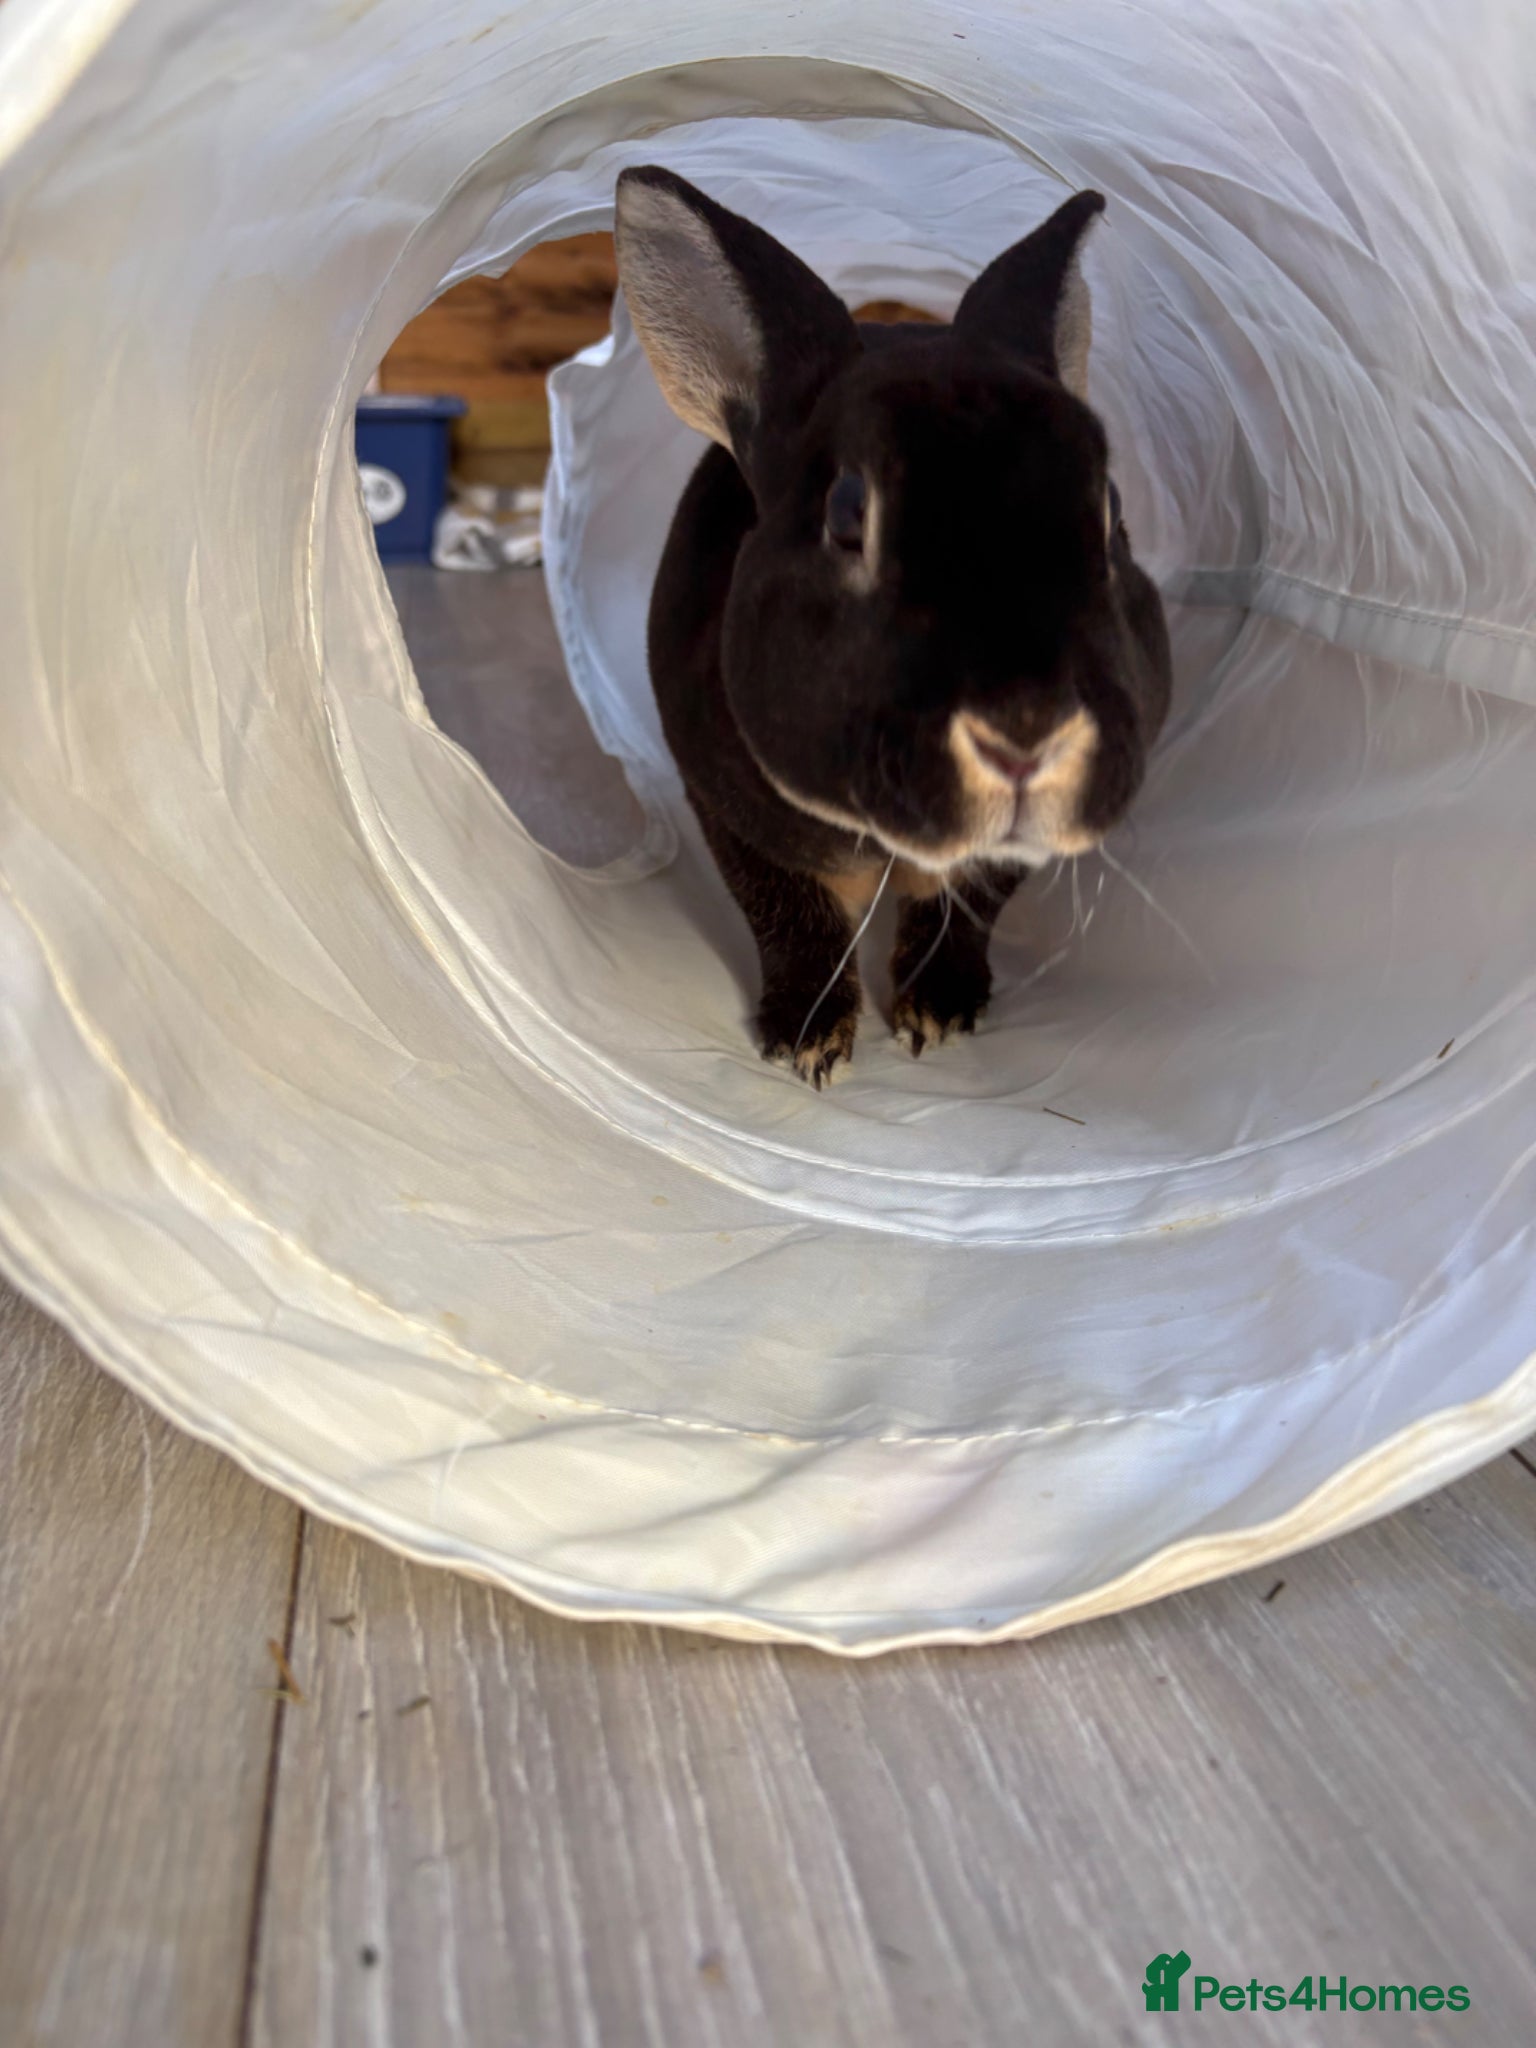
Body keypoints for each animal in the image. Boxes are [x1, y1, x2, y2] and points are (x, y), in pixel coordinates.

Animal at [613, 166, 1171, 1086]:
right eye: (848, 516)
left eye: (1111, 512)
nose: (1026, 733)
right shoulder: (722, 808)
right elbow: (793, 917)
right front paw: (807, 1044)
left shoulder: (992, 862)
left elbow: (959, 908)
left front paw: (937, 1015)